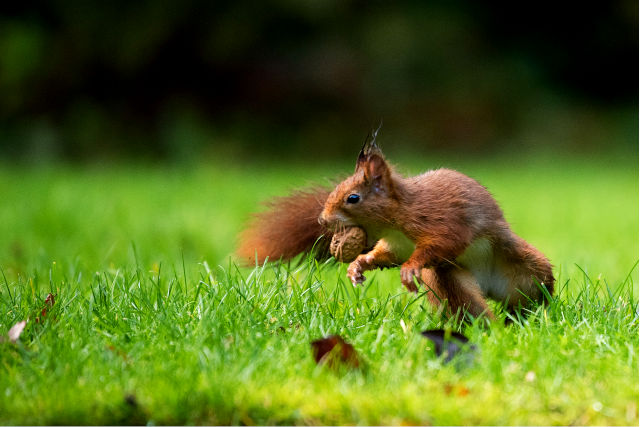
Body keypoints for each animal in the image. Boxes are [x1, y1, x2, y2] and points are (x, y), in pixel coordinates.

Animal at [238, 132, 552, 320]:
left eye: (353, 198)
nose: (322, 220)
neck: (394, 221)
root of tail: (488, 285)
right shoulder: (395, 244)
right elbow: (384, 256)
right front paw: (358, 265)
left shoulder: (442, 220)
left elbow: (441, 243)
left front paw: (410, 268)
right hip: (451, 281)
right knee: (468, 305)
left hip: (526, 269)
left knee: (533, 293)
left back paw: (534, 314)